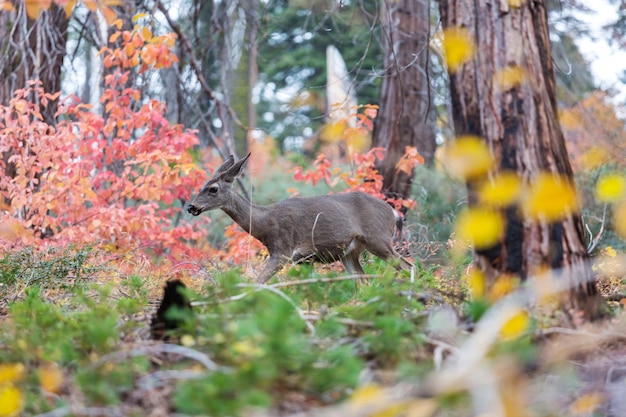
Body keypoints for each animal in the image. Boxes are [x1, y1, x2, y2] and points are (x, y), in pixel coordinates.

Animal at [188, 153, 412, 282]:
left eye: (213, 188)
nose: (191, 206)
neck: (265, 225)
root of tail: (393, 212)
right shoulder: (303, 260)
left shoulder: (282, 250)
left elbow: (257, 283)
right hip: (351, 251)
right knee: (363, 280)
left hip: (378, 238)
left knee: (409, 266)